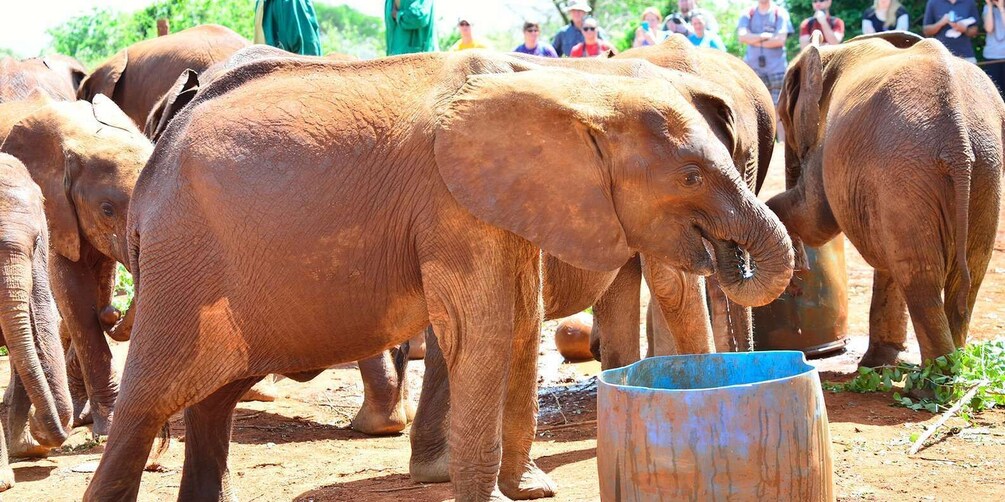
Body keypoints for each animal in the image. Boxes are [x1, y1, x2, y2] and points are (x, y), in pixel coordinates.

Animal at [0, 93, 152, 435]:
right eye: (107, 209)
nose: (113, 314)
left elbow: (100, 283)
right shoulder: (55, 208)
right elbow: (75, 297)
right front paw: (108, 425)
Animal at [82, 51, 791, 501]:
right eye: (691, 176)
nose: (732, 254)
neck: (577, 89)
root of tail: (153, 163)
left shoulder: (507, 200)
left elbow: (519, 325)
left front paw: (529, 490)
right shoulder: (452, 203)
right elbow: (487, 330)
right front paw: (500, 498)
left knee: (213, 401)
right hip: (184, 262)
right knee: (149, 402)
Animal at [763, 32, 1000, 369]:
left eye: (783, 117)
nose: (798, 280)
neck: (832, 51)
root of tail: (959, 144)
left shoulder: (828, 142)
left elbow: (816, 219)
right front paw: (878, 363)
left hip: (909, 166)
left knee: (920, 276)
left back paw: (933, 380)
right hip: (984, 168)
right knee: (968, 272)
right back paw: (949, 367)